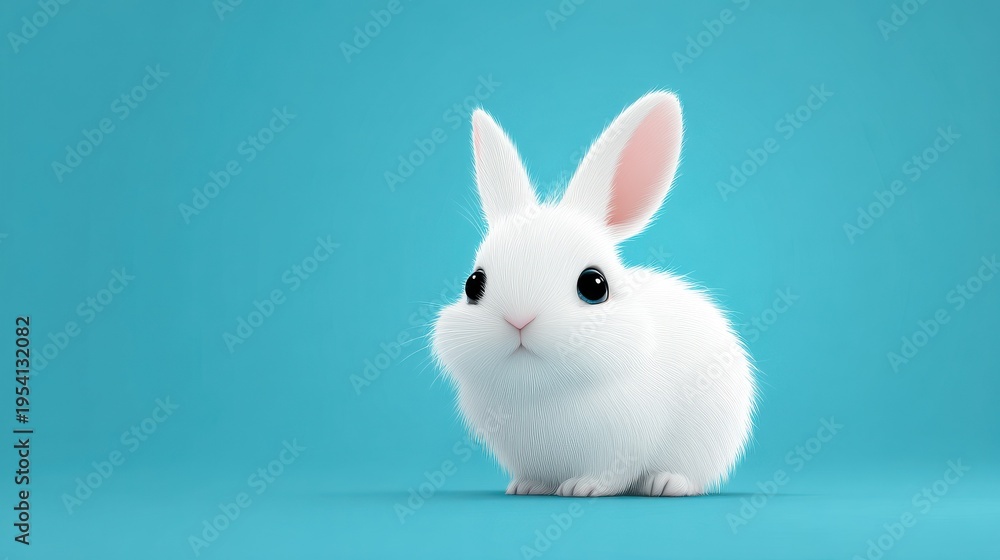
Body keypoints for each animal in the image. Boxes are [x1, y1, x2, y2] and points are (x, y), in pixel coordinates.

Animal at [431, 91, 756, 497]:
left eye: (594, 286)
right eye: (473, 284)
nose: (519, 319)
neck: (539, 390)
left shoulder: (624, 445)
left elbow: (611, 474)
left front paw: (581, 488)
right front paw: (528, 487)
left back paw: (665, 483)